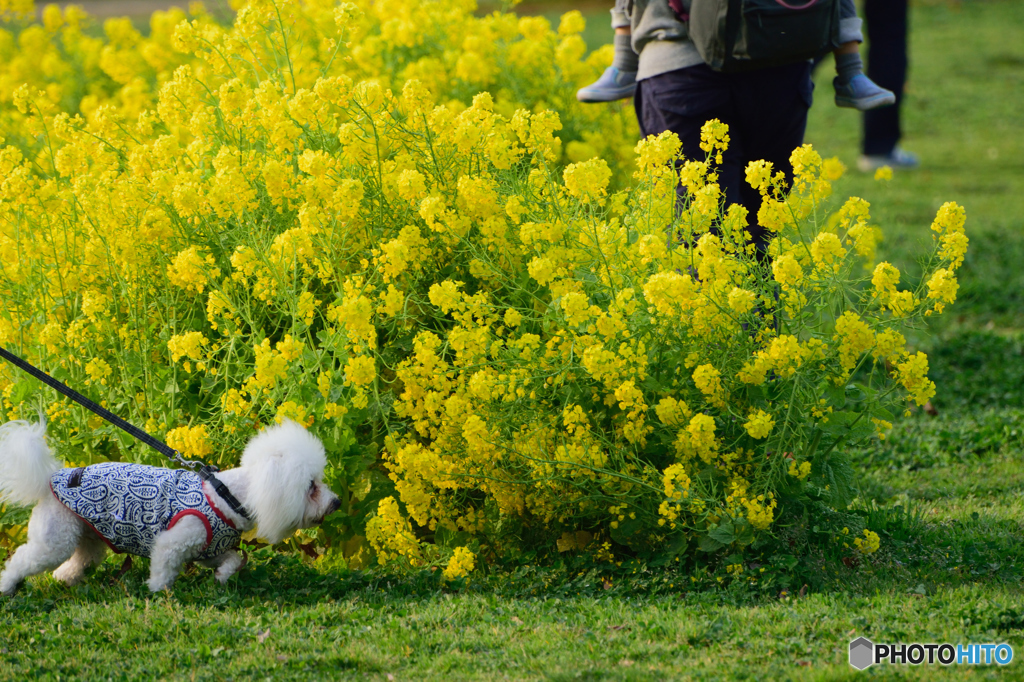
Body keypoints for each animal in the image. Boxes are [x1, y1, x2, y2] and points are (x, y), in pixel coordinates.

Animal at [0, 413, 344, 589]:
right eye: (311, 487)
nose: (337, 502)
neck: (226, 497)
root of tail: (50, 480)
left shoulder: (208, 548)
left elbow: (234, 559)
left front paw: (222, 576)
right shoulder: (174, 541)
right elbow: (163, 569)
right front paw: (158, 591)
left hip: (85, 536)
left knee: (80, 561)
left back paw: (66, 578)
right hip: (54, 539)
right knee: (22, 561)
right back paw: (8, 586)